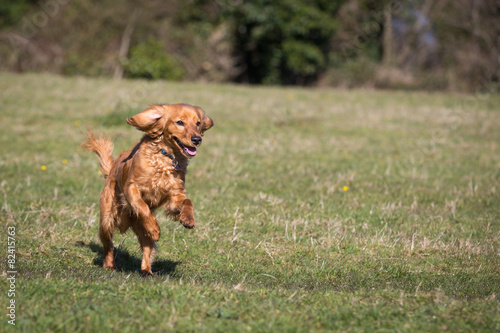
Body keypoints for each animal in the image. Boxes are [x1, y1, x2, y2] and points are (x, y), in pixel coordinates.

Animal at [81, 104, 213, 274]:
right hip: (107, 219)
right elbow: (142, 206)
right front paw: (155, 229)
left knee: (147, 247)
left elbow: (187, 201)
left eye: (198, 123)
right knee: (107, 244)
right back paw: (109, 264)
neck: (165, 158)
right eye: (180, 122)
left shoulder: (174, 197)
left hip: (140, 230)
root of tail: (111, 171)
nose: (197, 139)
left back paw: (147, 271)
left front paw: (188, 219)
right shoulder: (131, 187)